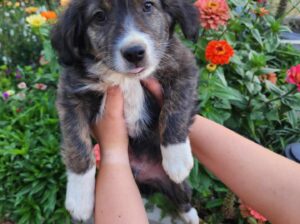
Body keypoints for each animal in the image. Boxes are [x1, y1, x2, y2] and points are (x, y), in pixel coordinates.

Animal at [51, 0, 200, 223]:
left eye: (148, 6)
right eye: (99, 16)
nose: (134, 53)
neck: (125, 78)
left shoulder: (183, 66)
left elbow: (175, 111)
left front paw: (177, 158)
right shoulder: (70, 96)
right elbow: (76, 143)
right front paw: (79, 197)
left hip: (179, 187)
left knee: (183, 199)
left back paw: (191, 215)